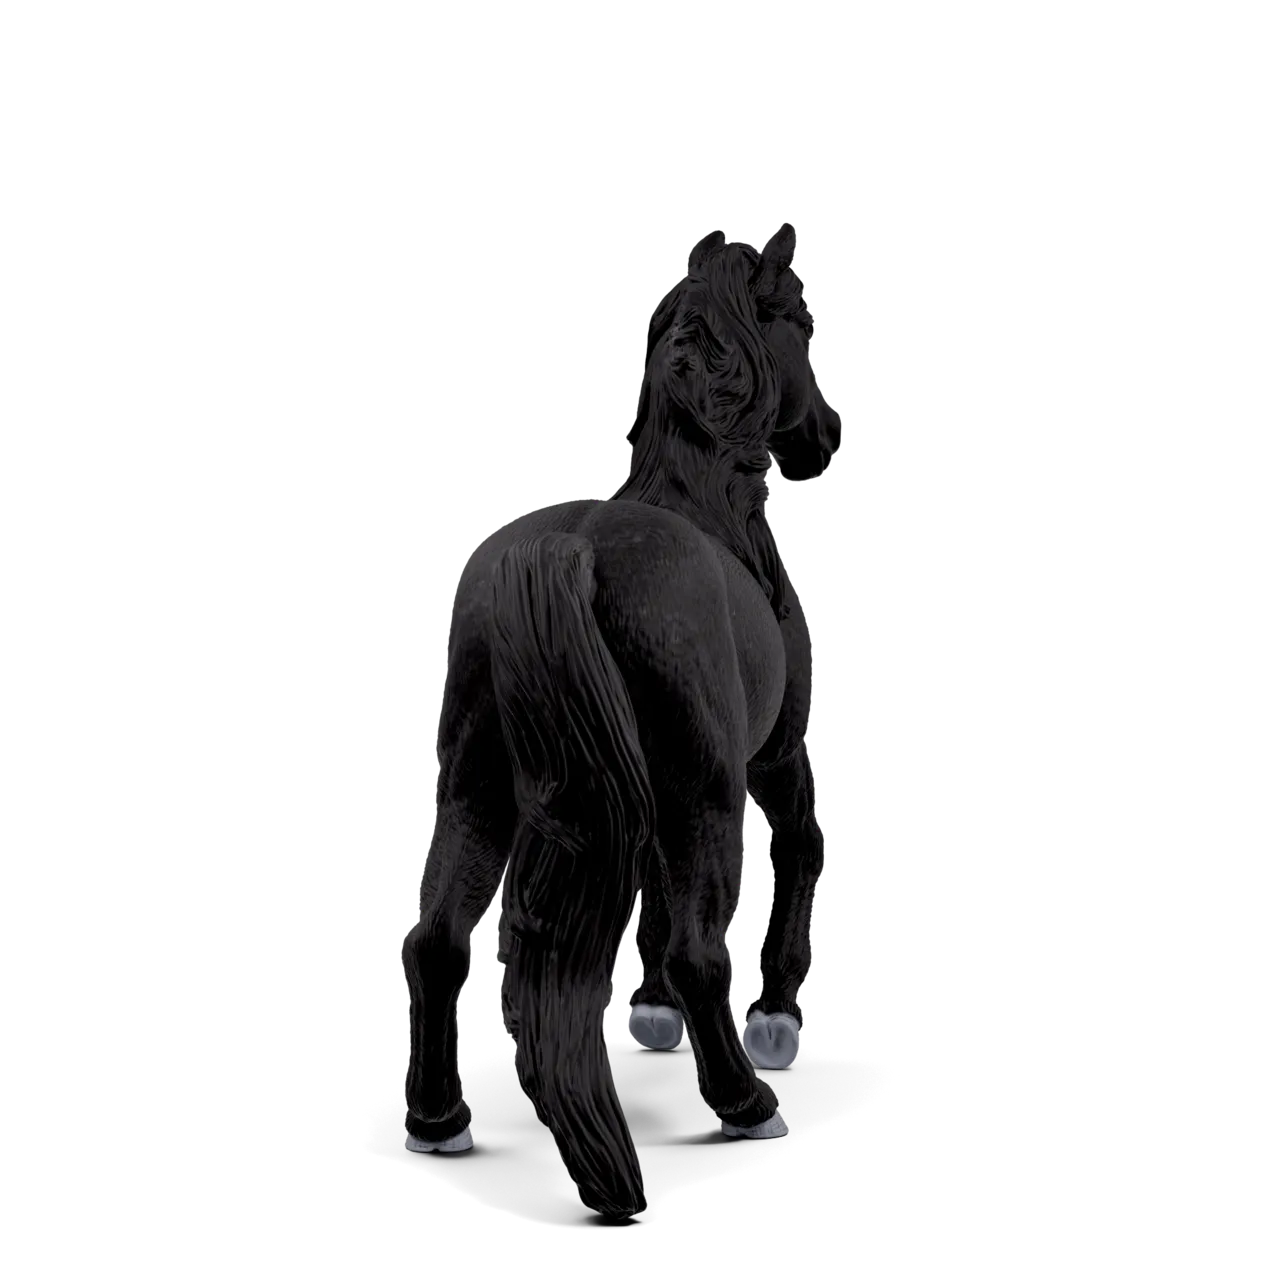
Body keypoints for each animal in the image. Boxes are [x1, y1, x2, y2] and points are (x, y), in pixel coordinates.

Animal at [403, 222, 843, 1218]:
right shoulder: (775, 756)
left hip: (479, 786)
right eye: (800, 323)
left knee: (436, 937)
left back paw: (439, 1122)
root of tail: (566, 550)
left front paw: (642, 1011)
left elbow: (644, 886)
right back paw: (747, 1104)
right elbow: (802, 848)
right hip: (709, 792)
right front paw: (778, 1017)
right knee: (700, 950)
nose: (826, 437)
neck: (709, 502)